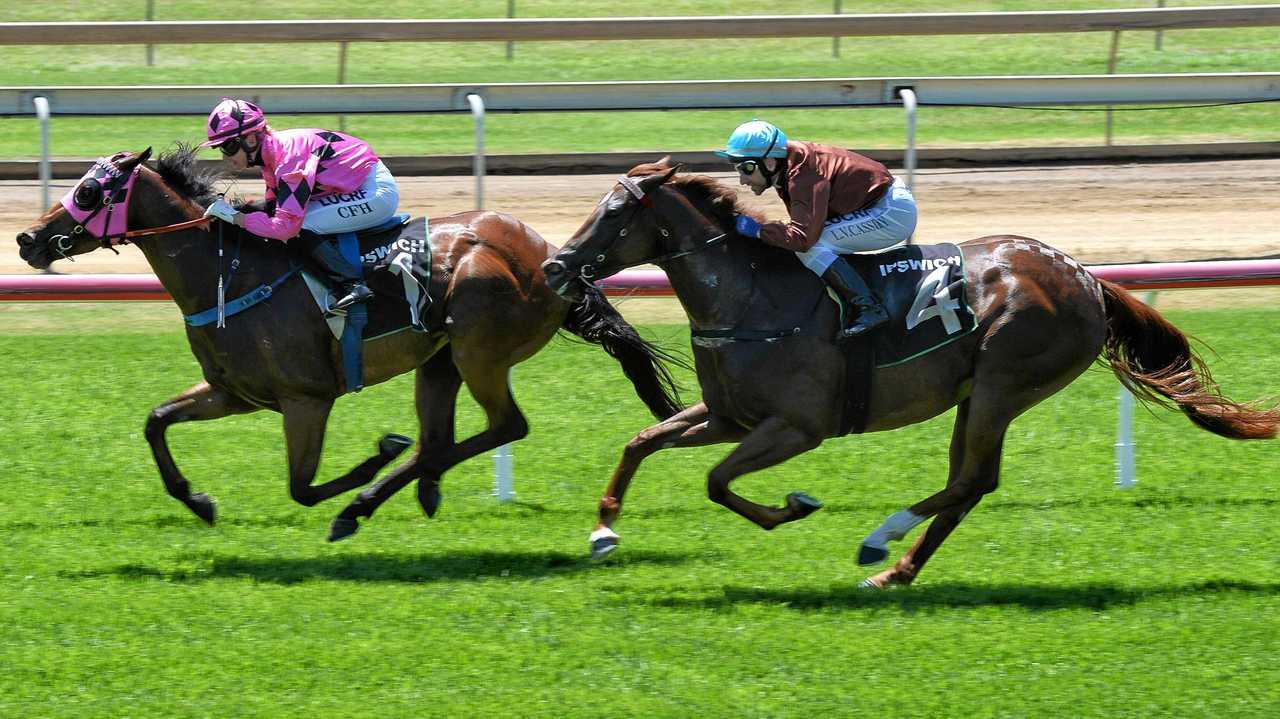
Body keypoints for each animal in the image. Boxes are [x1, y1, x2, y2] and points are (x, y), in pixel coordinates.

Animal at [15, 147, 686, 537]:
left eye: (91, 192)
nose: (26, 239)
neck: (230, 271)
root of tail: (551, 255)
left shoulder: (306, 399)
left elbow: (303, 486)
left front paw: (375, 458)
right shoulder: (235, 393)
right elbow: (156, 420)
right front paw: (198, 501)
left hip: (480, 351)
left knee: (503, 427)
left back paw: (372, 499)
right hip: (440, 361)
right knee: (442, 439)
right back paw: (410, 491)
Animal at [540, 159, 1280, 585]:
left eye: (613, 213)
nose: (553, 265)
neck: (752, 297)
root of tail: (1085, 278)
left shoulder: (796, 427)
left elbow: (717, 482)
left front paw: (794, 506)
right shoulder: (730, 415)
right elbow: (642, 442)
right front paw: (604, 530)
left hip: (1003, 382)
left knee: (972, 480)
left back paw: (880, 539)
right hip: (976, 394)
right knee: (970, 484)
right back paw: (896, 570)